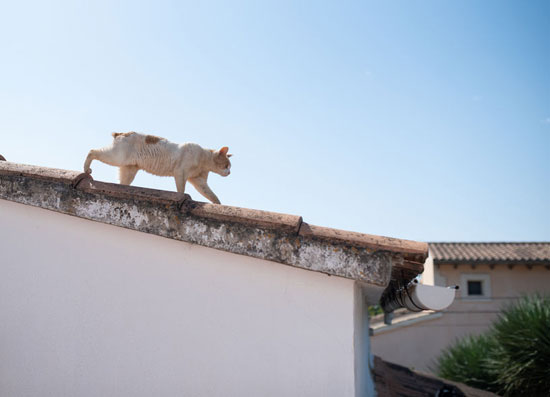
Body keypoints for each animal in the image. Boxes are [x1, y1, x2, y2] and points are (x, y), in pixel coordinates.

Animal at [84, 131, 233, 203]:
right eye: (227, 165)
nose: (229, 172)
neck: (203, 159)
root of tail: (121, 133)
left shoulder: (199, 181)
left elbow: (213, 196)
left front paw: (219, 205)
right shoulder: (180, 173)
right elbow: (181, 190)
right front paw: (181, 196)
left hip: (128, 170)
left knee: (121, 183)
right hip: (116, 157)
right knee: (92, 151)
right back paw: (86, 169)